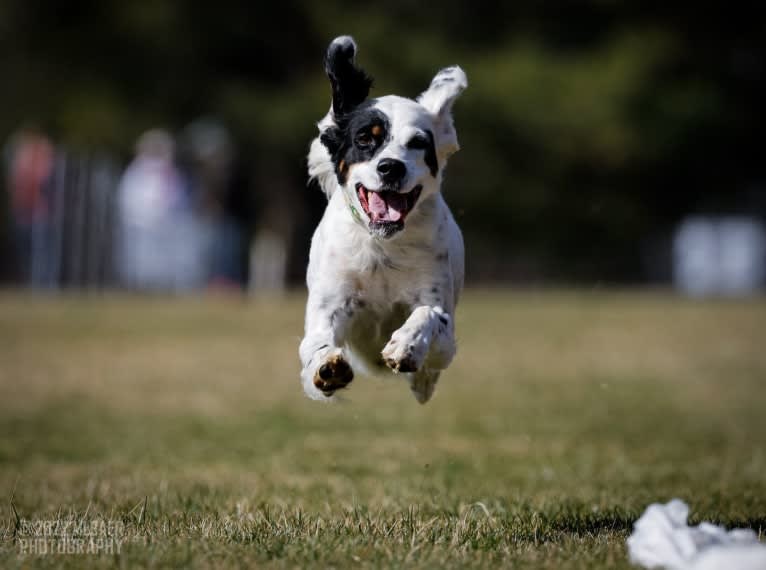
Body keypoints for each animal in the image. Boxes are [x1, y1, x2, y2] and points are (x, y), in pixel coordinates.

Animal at [300, 35, 468, 402]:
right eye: (365, 138)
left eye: (418, 143)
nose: (391, 167)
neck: (383, 245)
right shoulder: (329, 306)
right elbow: (316, 343)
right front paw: (327, 366)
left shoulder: (446, 334)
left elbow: (428, 315)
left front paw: (407, 345)